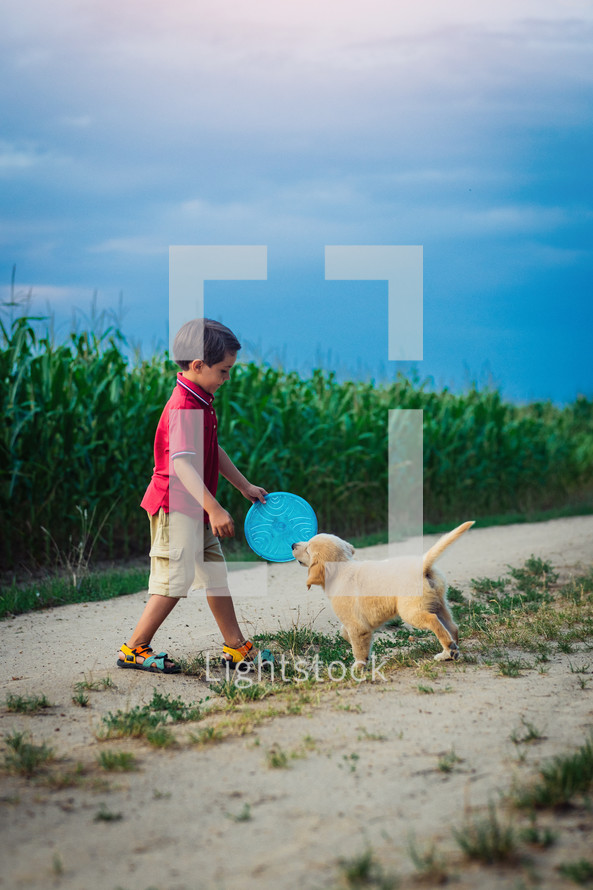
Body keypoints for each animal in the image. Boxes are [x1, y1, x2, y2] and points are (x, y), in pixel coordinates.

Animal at [290, 524, 472, 664]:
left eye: (307, 549)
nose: (292, 544)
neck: (341, 569)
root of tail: (422, 565)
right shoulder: (357, 622)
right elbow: (346, 633)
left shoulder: (356, 625)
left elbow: (357, 648)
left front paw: (359, 667)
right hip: (439, 604)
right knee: (452, 627)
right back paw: (449, 653)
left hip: (412, 610)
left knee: (433, 621)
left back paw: (449, 650)